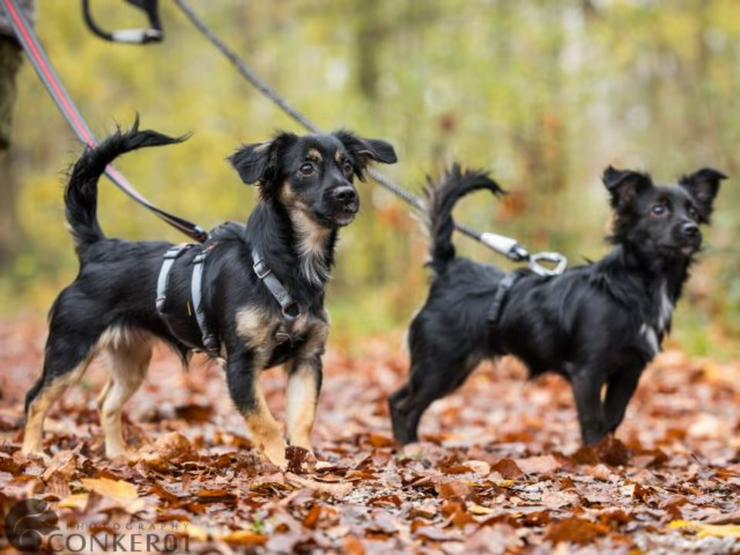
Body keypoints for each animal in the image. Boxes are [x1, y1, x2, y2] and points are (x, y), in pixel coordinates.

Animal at [20, 121, 396, 470]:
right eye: (307, 168)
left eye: (347, 167)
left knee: (106, 403)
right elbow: (267, 424)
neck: (285, 267)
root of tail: (98, 249)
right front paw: (280, 467)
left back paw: (117, 456)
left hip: (131, 359)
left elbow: (301, 421)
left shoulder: (307, 359)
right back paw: (31, 454)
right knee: (35, 399)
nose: (347, 194)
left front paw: (307, 466)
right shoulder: (241, 364)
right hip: (70, 351)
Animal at [390, 164, 724, 448]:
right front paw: (595, 461)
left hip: (450, 368)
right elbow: (594, 422)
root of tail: (449, 269)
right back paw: (407, 449)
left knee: (401, 400)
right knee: (404, 405)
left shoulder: (630, 370)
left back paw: (411, 445)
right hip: (440, 365)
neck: (635, 286)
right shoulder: (588, 371)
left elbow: (613, 418)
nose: (692, 229)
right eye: (658, 210)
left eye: (693, 211)